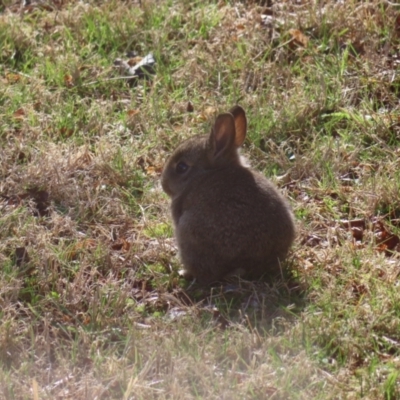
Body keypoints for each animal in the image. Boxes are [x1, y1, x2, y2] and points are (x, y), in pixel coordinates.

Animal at [161, 104, 296, 282]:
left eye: (181, 167)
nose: (163, 184)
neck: (206, 173)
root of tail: (249, 264)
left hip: (188, 232)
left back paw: (185, 272)